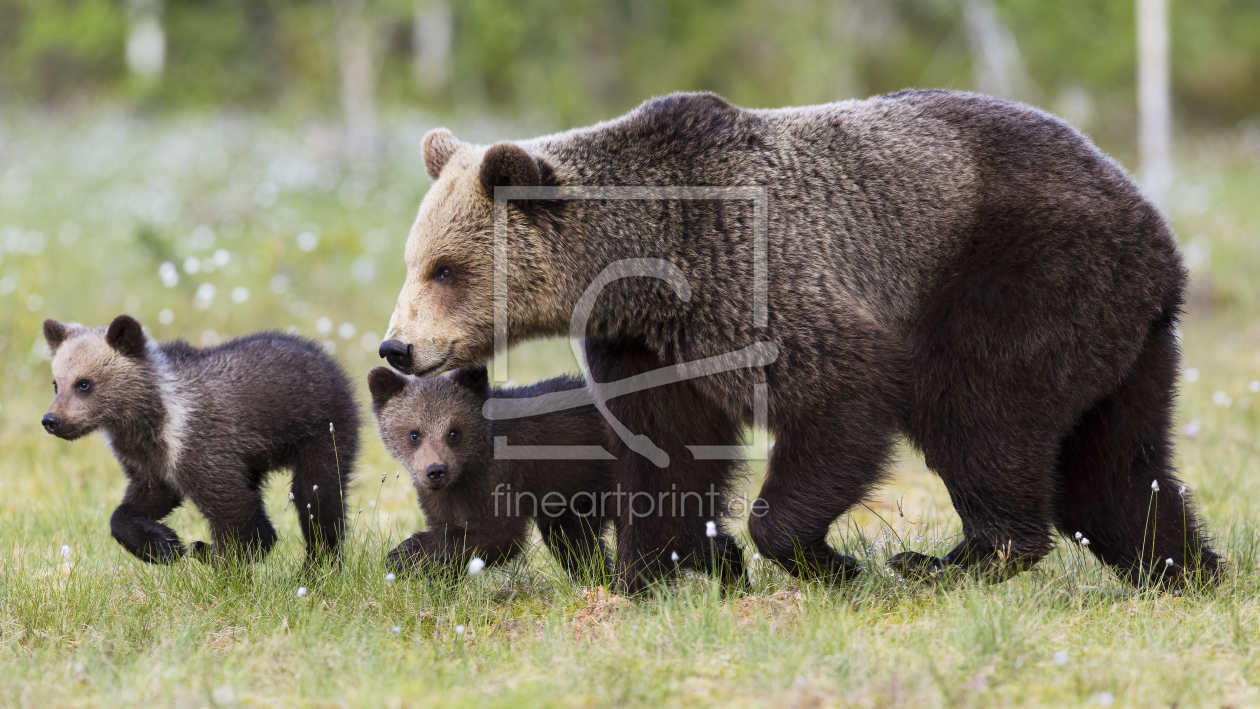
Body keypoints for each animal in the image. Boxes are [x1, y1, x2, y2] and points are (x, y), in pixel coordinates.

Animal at [375, 90, 1219, 594]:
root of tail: (1155, 228)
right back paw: (1183, 565)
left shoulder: (752, 275)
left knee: (981, 411)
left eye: (446, 268)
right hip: (1121, 339)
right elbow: (666, 449)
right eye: (414, 260)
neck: (644, 266)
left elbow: (839, 390)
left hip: (1016, 275)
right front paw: (651, 570)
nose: (397, 348)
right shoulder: (649, 344)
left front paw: (821, 557)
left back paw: (953, 559)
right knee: (1113, 465)